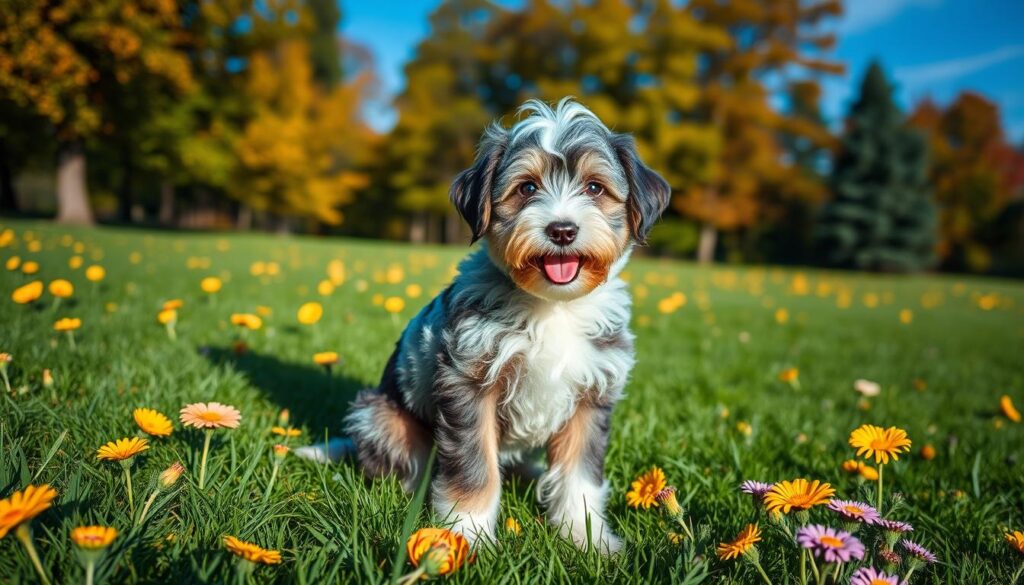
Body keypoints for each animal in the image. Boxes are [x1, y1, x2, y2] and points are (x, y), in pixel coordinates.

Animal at [294, 98, 671, 553]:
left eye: (595, 188)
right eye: (527, 188)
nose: (562, 230)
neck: (552, 307)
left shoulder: (592, 393)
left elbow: (579, 476)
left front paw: (588, 538)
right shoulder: (469, 383)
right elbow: (475, 468)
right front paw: (465, 535)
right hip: (382, 416)